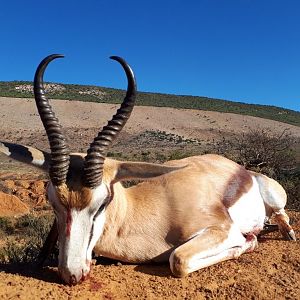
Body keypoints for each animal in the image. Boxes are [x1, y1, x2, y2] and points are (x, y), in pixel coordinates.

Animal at [0, 54, 296, 286]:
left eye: (102, 202)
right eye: (52, 202)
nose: (71, 274)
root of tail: (240, 169)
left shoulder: (222, 230)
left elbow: (178, 260)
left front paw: (250, 241)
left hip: (274, 198)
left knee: (280, 214)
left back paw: (286, 233)